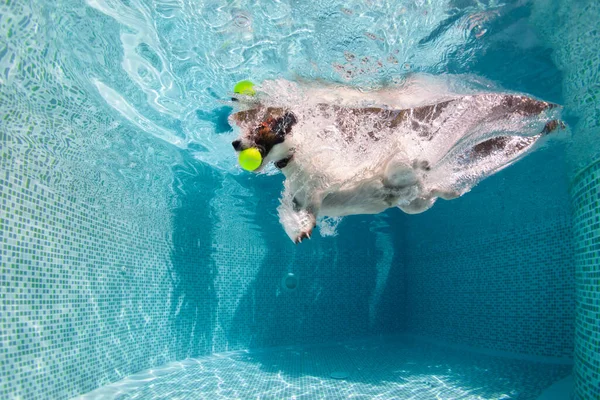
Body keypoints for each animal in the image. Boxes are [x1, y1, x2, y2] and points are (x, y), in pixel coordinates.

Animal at [229, 76, 564, 244]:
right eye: (245, 128)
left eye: (260, 126)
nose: (234, 142)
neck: (296, 157)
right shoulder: (302, 193)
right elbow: (298, 206)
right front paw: (299, 227)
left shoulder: (344, 159)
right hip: (418, 203)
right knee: (442, 190)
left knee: (410, 170)